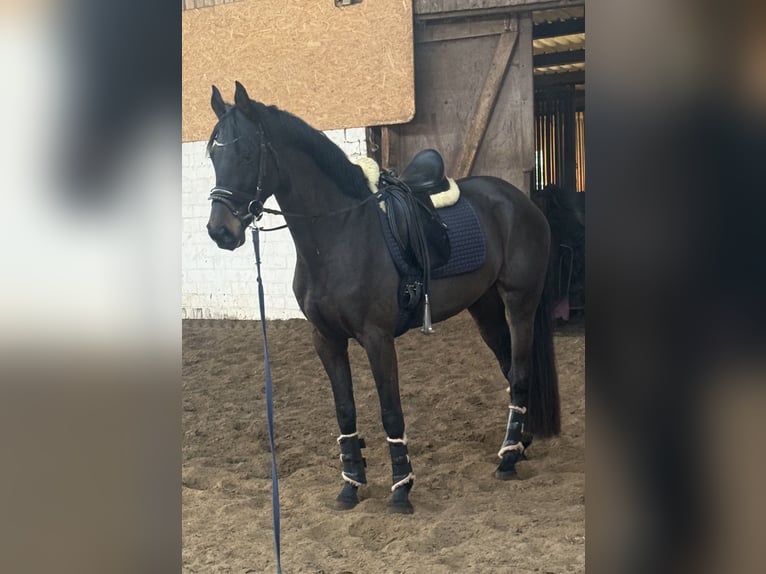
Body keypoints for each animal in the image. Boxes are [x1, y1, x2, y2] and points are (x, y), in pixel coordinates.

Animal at [205, 82, 560, 514]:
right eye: (213, 154)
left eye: (246, 153)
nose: (220, 231)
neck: (340, 232)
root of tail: (519, 201)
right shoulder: (326, 339)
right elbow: (345, 410)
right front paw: (350, 485)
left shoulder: (377, 339)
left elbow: (391, 411)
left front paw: (401, 489)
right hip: (486, 309)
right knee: (510, 370)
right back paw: (519, 443)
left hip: (519, 304)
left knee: (521, 372)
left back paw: (508, 458)